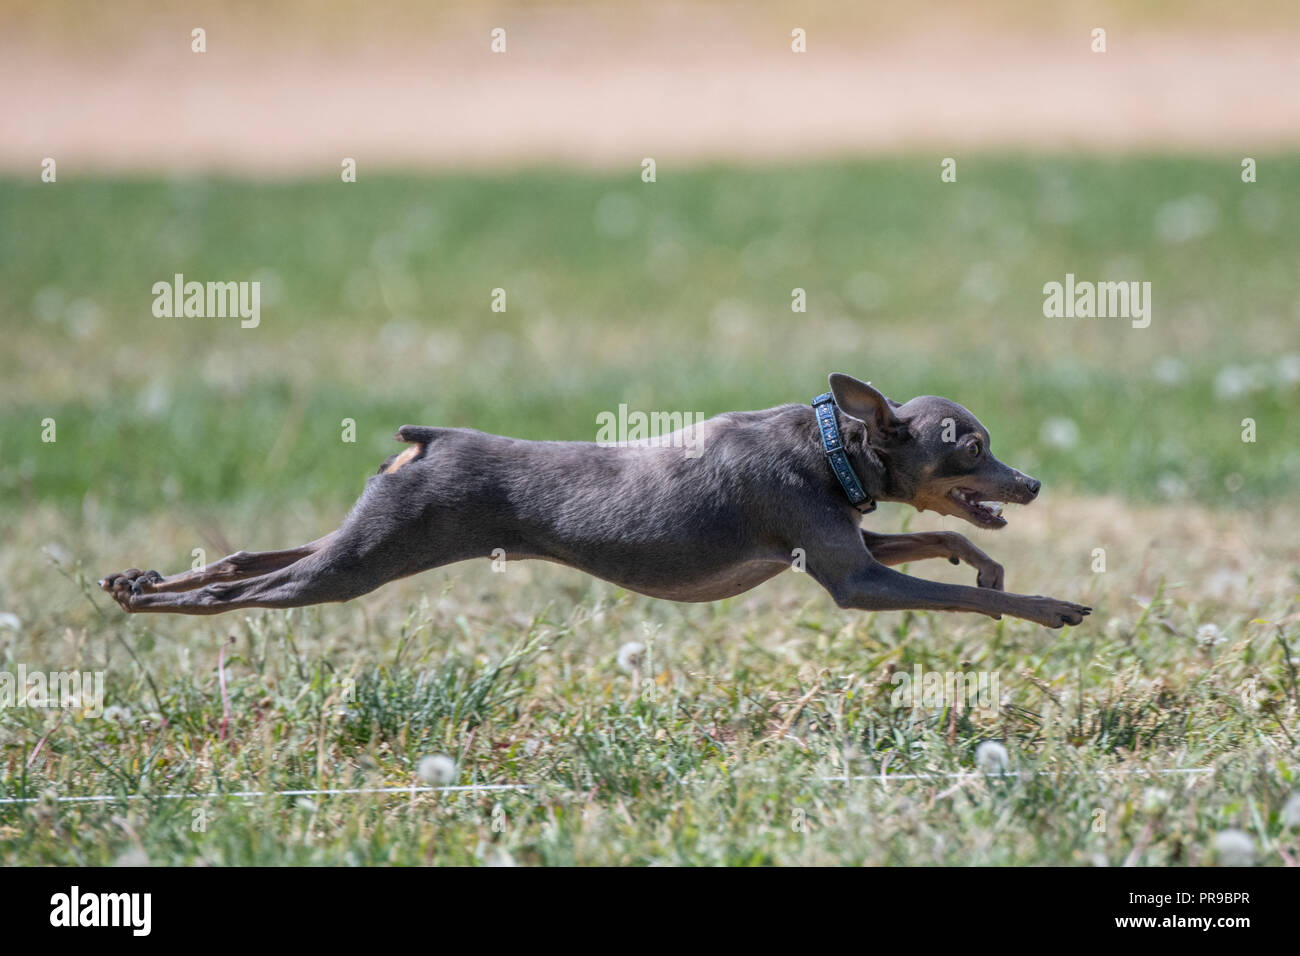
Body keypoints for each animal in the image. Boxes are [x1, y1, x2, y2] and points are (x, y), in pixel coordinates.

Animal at [101, 374, 1092, 629]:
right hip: (362, 563)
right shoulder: (855, 581)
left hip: (360, 539)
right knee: (244, 589)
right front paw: (1049, 605)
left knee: (248, 556)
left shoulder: (845, 549)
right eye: (973, 446)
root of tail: (430, 440)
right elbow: (950, 590)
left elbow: (944, 552)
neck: (829, 448)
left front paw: (995, 566)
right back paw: (162, 602)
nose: (1032, 484)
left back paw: (137, 583)